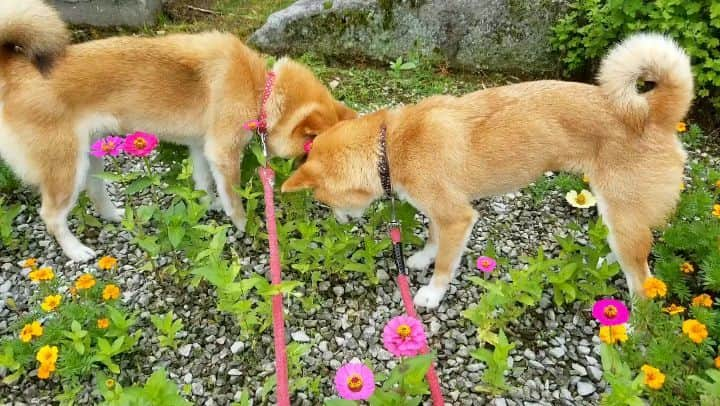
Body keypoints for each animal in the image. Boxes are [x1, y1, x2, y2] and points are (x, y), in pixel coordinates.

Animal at [0, 0, 354, 262]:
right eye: (311, 151)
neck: (260, 88)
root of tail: (13, 68)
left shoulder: (201, 148)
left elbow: (203, 184)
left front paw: (208, 204)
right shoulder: (223, 151)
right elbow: (234, 197)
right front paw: (243, 224)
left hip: (91, 155)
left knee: (97, 191)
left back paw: (115, 216)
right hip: (64, 167)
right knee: (51, 215)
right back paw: (75, 251)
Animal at [282, 34, 692, 308]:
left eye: (324, 200)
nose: (337, 223)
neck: (391, 147)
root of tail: (654, 113)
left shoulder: (457, 216)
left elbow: (445, 263)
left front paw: (432, 293)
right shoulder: (442, 212)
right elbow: (432, 239)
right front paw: (422, 258)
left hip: (623, 211)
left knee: (643, 280)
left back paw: (634, 327)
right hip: (618, 214)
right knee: (633, 256)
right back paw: (608, 263)